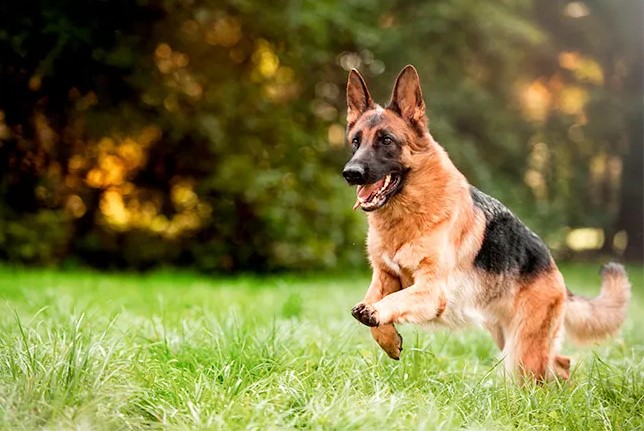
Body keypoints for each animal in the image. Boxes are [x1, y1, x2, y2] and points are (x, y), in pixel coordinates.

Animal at [344, 64, 632, 382]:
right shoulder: (385, 276)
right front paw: (387, 337)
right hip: (507, 336)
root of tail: (554, 269)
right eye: (356, 141)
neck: (408, 214)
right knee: (560, 362)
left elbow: (393, 302)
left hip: (522, 350)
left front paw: (378, 315)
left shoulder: (431, 290)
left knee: (546, 370)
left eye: (386, 140)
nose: (350, 173)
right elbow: (372, 302)